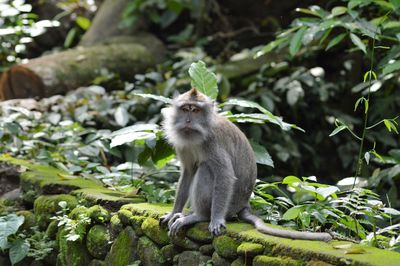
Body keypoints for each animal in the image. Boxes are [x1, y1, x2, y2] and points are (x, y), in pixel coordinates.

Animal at [159, 88, 332, 242]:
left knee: (206, 168)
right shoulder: (183, 145)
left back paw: (199, 216)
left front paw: (216, 220)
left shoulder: (213, 142)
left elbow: (225, 175)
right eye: (185, 109)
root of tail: (244, 204)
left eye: (195, 110)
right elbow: (188, 172)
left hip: (230, 205)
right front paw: (172, 213)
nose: (188, 121)